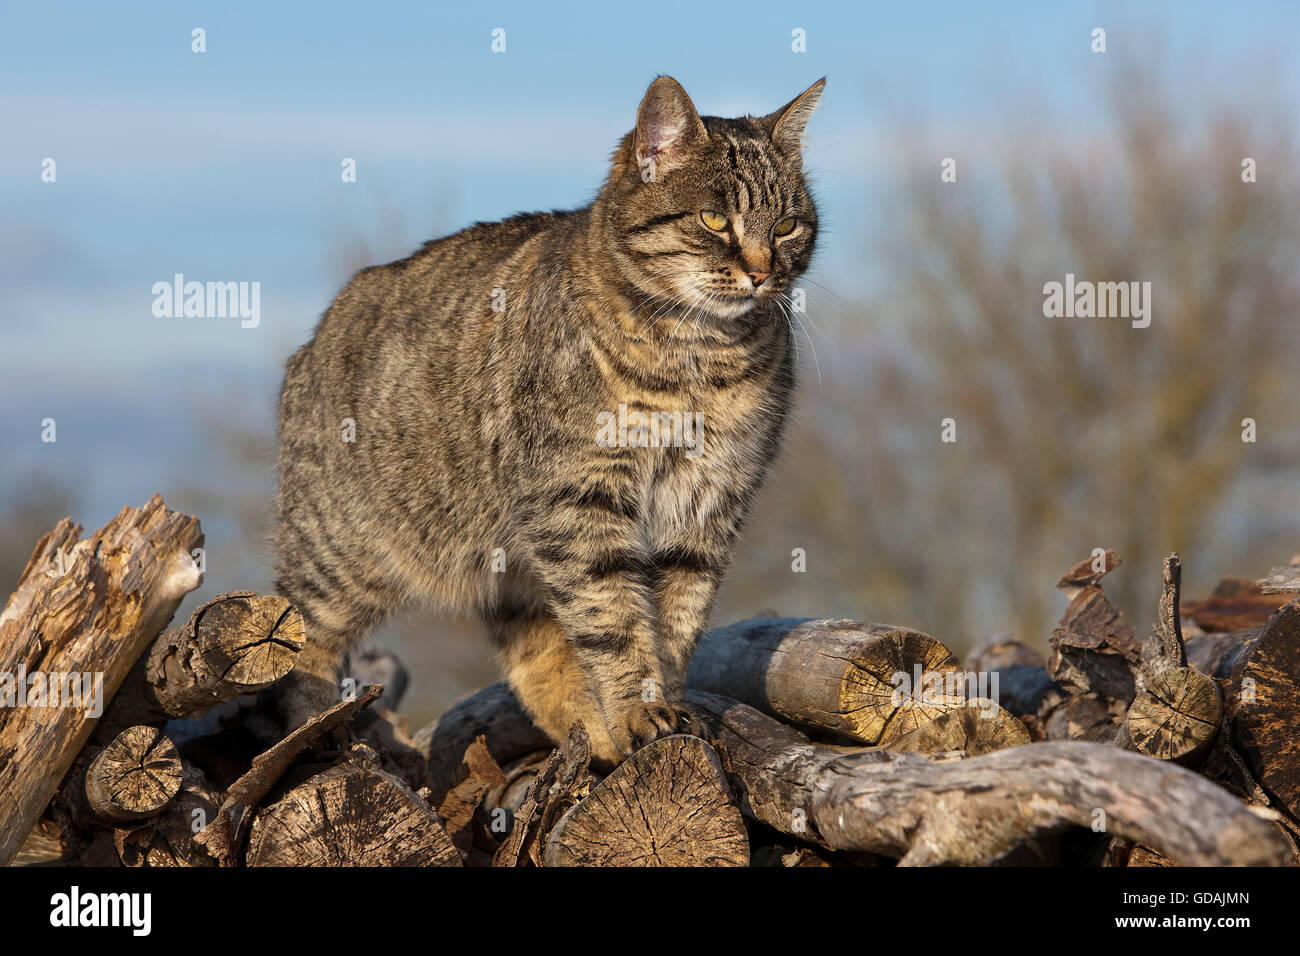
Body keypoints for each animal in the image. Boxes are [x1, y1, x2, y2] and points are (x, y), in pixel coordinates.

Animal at [274, 74, 821, 764]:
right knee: (300, 646)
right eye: (715, 219)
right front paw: (640, 710)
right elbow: (614, 618)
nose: (762, 272)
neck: (699, 360)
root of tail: (314, 337)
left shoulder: (707, 502)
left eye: (788, 226)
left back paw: (594, 735)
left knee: (537, 659)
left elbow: (673, 619)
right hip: (339, 554)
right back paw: (306, 742)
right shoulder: (579, 496)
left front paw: (656, 706)